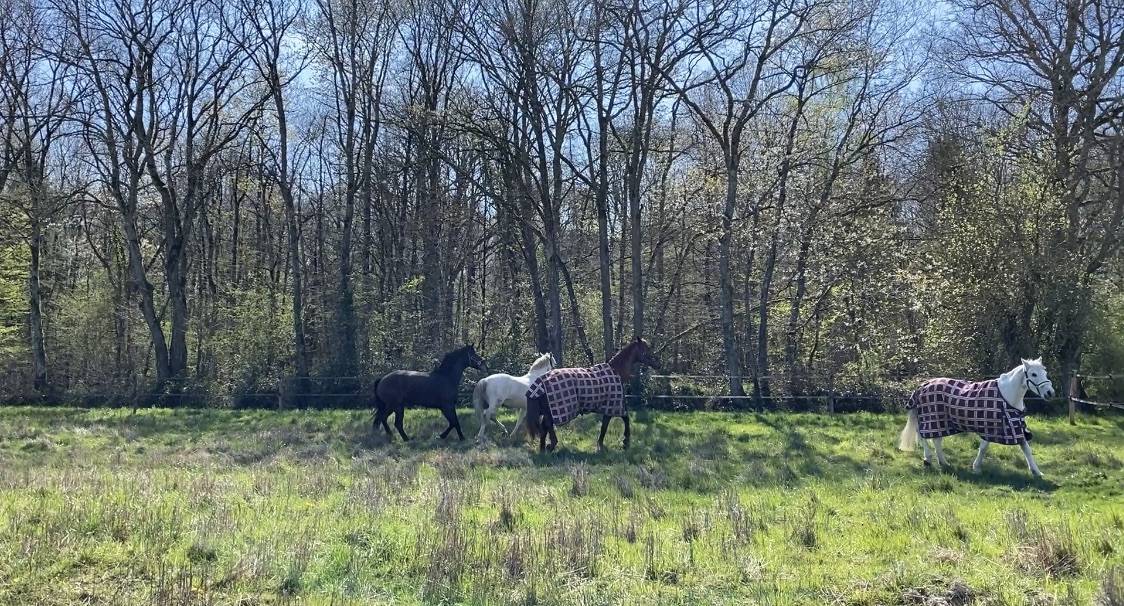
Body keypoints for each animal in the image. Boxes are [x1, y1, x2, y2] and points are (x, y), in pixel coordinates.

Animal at [525, 337, 660, 453]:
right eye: (646, 349)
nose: (657, 364)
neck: (616, 372)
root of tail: (540, 381)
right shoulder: (613, 405)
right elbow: (621, 420)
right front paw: (624, 442)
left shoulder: (610, 407)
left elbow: (606, 426)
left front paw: (603, 444)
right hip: (553, 411)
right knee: (548, 425)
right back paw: (551, 445)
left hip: (548, 411)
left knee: (544, 428)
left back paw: (543, 449)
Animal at [898, 358, 1055, 477]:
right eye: (1033, 374)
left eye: (1045, 372)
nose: (1050, 393)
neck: (1006, 395)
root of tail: (923, 385)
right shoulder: (991, 428)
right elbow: (983, 448)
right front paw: (977, 468)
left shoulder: (1014, 427)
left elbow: (1026, 449)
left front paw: (1037, 472)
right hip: (930, 419)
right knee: (924, 436)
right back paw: (928, 460)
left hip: (939, 421)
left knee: (936, 440)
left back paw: (944, 462)